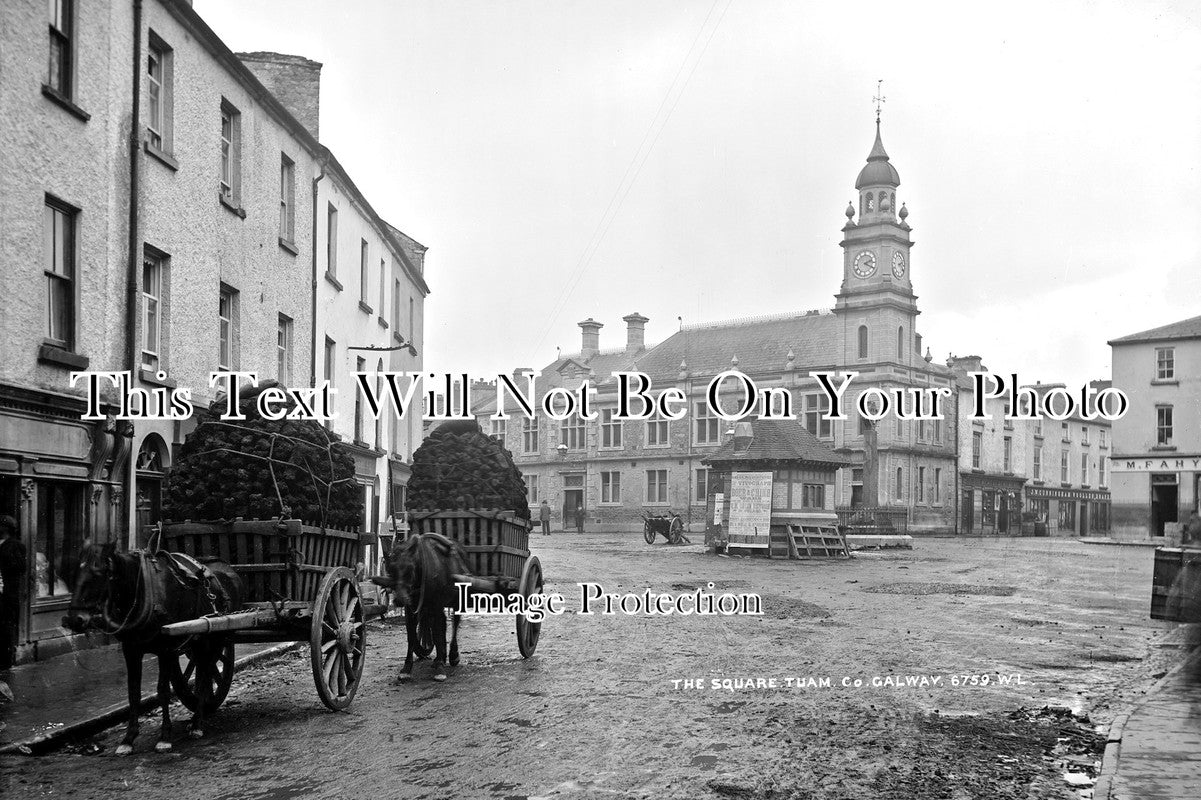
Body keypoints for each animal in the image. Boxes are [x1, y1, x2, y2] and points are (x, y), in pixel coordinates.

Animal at [63, 538, 243, 749]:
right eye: (75, 573)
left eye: (99, 572)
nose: (74, 619)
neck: (143, 592)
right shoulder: (131, 649)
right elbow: (133, 692)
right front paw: (128, 738)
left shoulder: (166, 648)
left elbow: (163, 691)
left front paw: (165, 736)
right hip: (201, 642)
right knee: (203, 675)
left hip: (212, 639)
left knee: (205, 677)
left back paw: (197, 724)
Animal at [369, 528, 468, 677]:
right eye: (391, 569)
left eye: (410, 569)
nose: (399, 599)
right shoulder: (412, 607)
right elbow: (412, 635)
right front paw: (407, 667)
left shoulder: (436, 605)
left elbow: (438, 632)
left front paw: (440, 666)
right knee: (439, 624)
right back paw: (440, 657)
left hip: (456, 600)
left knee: (454, 623)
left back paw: (452, 655)